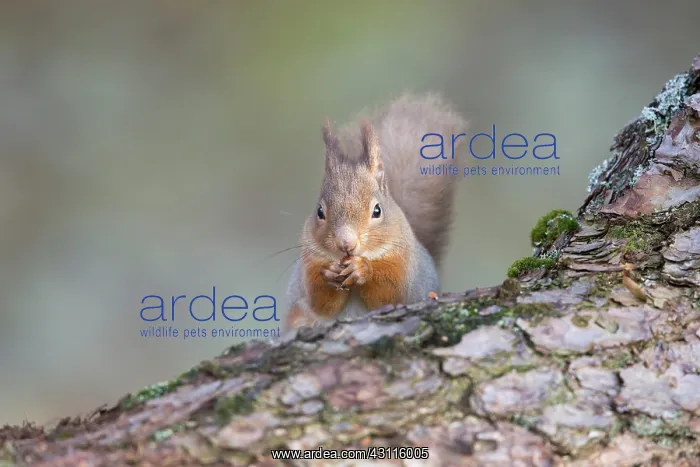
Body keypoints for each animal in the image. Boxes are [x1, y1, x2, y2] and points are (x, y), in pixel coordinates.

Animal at [286, 92, 466, 329]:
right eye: (320, 212)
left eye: (377, 211)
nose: (346, 244)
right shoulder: (310, 264)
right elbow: (320, 303)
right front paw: (329, 273)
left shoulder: (402, 265)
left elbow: (388, 294)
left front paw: (363, 269)